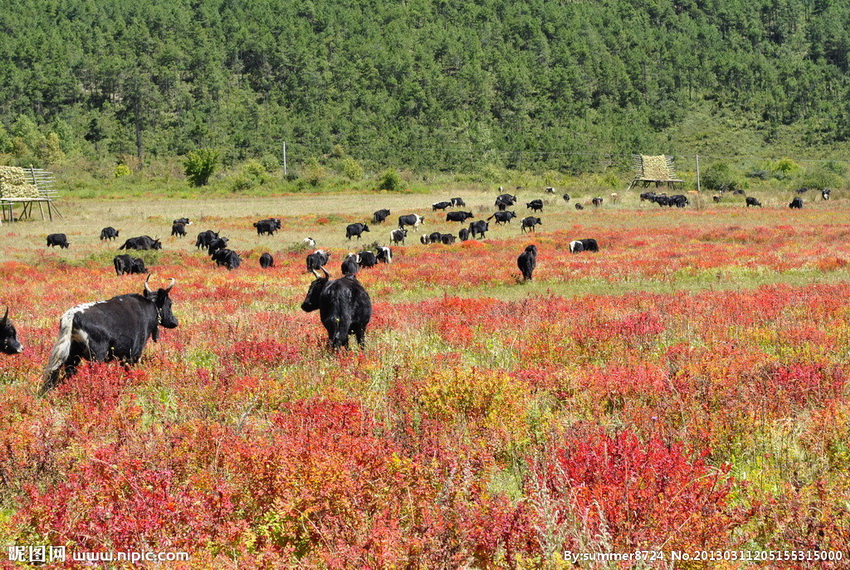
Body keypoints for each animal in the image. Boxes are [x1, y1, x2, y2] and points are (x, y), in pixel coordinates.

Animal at [42, 274, 178, 390]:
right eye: (170, 303)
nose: (175, 322)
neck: (149, 308)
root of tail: (71, 316)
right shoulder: (133, 354)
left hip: (73, 354)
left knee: (69, 371)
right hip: (97, 355)